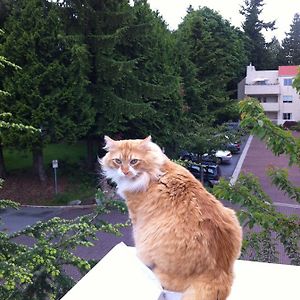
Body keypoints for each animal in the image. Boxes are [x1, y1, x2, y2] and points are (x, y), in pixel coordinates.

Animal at [102, 137, 243, 300]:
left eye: (134, 161)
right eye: (118, 161)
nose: (125, 172)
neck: (155, 170)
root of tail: (219, 271)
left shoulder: (136, 216)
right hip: (232, 216)